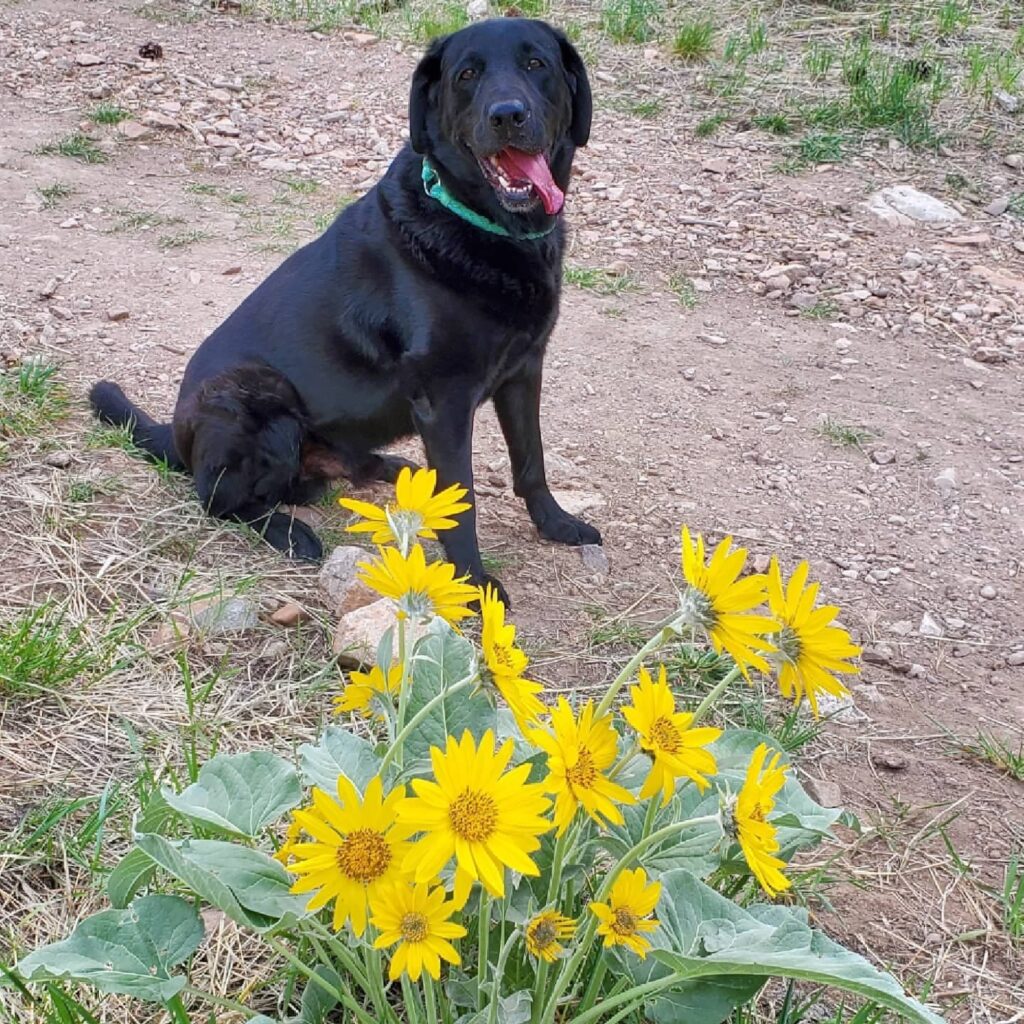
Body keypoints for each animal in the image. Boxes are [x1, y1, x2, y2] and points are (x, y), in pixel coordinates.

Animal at [90, 18, 598, 598]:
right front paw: (471, 584)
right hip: (257, 401)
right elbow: (462, 502)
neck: (487, 226)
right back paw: (290, 533)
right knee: (222, 500)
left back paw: (390, 469)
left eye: (537, 64)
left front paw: (556, 525)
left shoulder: (524, 372)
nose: (508, 114)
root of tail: (178, 437)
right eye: (467, 75)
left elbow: (531, 461)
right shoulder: (444, 402)